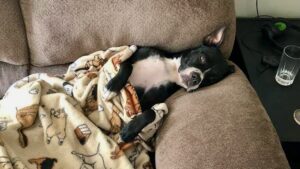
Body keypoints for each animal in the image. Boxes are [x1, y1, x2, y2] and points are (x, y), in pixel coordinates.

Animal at [105, 26, 234, 143]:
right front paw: (111, 88)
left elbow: (151, 113)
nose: (197, 78)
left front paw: (128, 131)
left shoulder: (144, 102)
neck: (171, 70)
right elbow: (127, 65)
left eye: (210, 80)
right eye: (202, 58)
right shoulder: (131, 50)